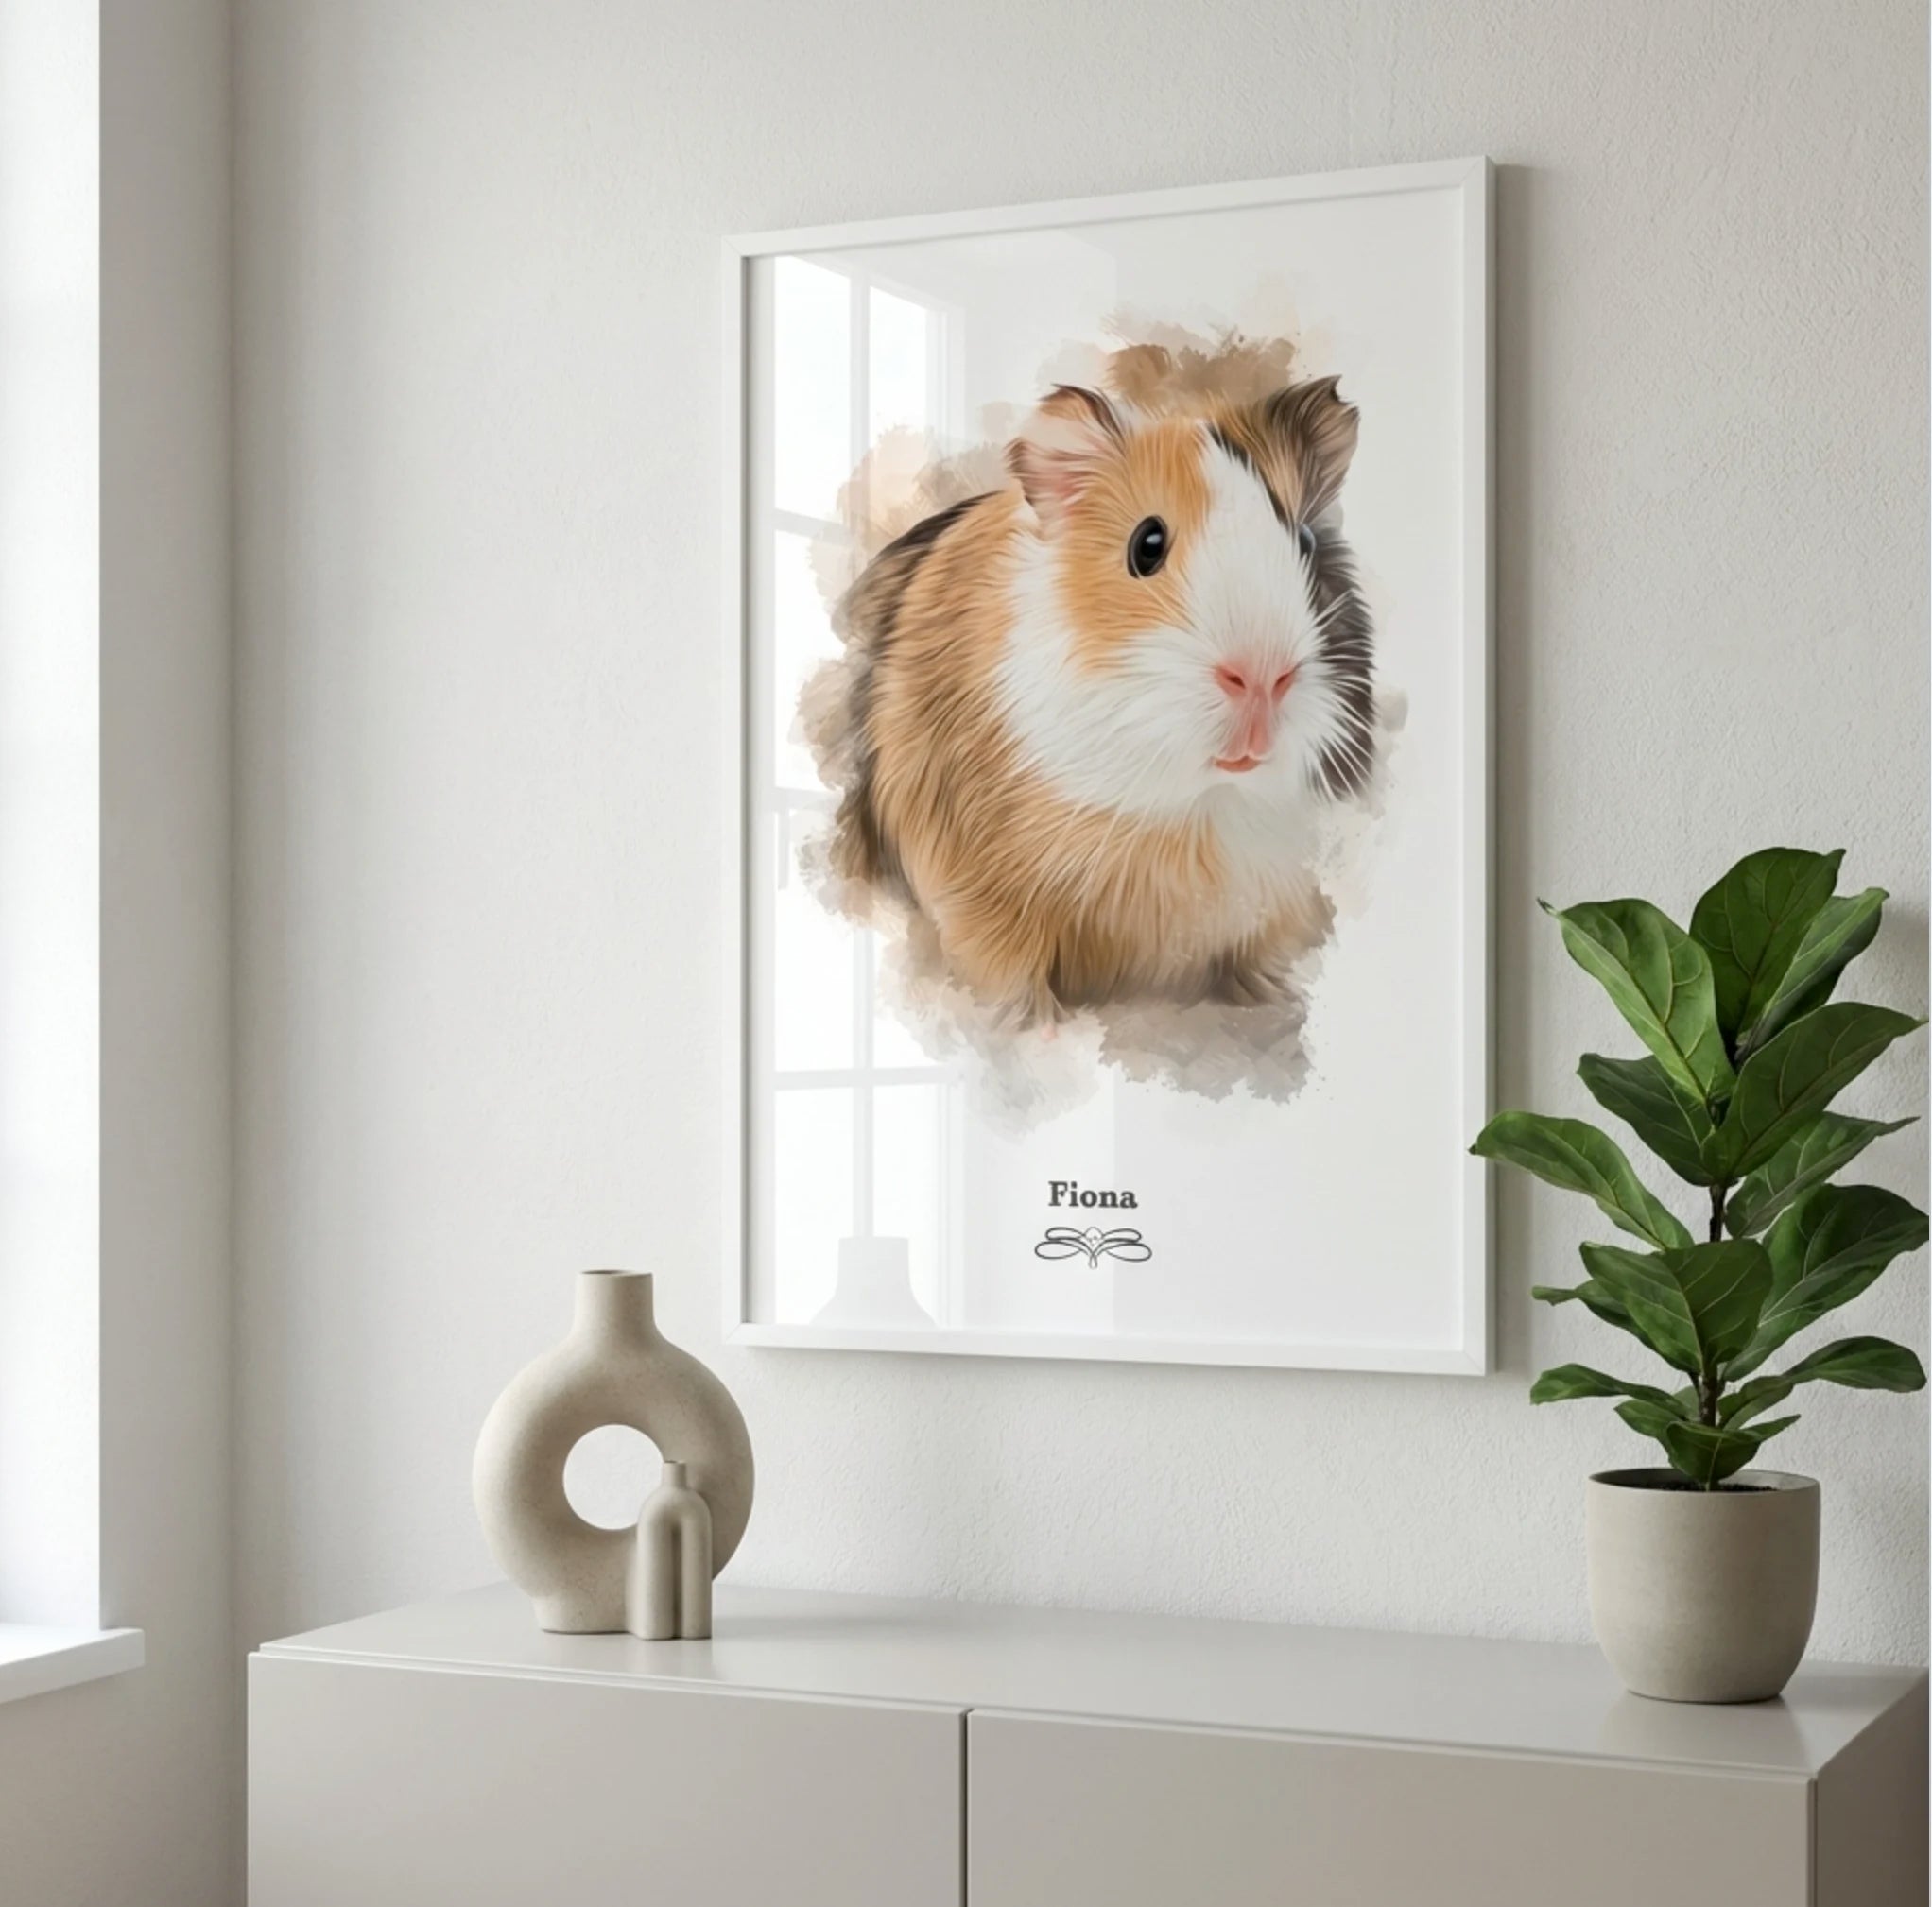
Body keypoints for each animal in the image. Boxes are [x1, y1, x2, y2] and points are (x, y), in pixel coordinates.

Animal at [811, 374, 1375, 1025]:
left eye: (1304, 542)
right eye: (1146, 544)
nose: (1263, 677)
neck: (1192, 816)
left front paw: (1270, 1000)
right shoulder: (979, 900)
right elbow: (1012, 983)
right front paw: (1040, 1028)